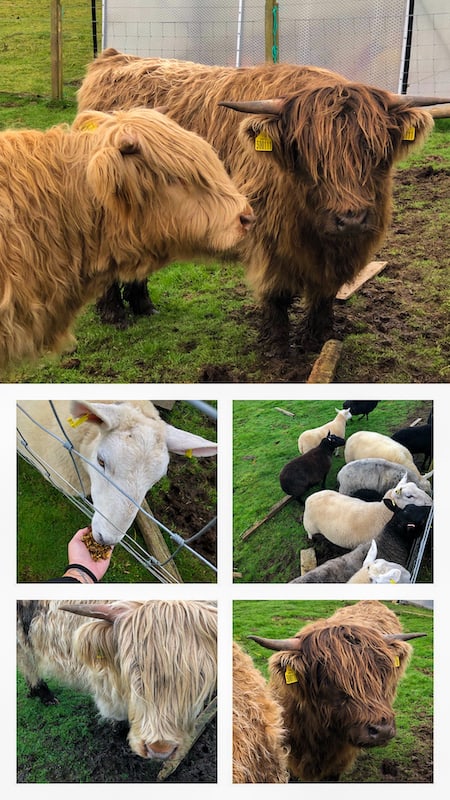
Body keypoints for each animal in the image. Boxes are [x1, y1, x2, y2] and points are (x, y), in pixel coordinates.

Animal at [302, 476, 432, 552]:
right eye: (409, 496)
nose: (431, 501)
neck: (381, 514)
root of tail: (311, 497)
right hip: (310, 526)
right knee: (309, 532)